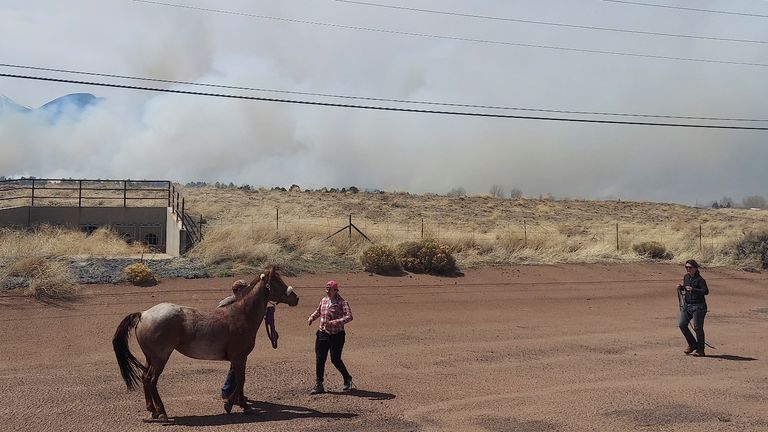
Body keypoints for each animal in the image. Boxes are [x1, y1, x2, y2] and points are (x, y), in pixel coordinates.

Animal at [112, 264, 298, 420]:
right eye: (278, 282)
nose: (296, 298)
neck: (241, 315)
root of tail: (143, 314)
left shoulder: (240, 359)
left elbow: (240, 380)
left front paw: (244, 405)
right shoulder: (238, 357)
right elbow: (241, 380)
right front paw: (229, 404)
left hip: (150, 357)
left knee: (144, 378)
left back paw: (152, 410)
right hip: (160, 358)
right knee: (151, 380)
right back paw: (162, 412)